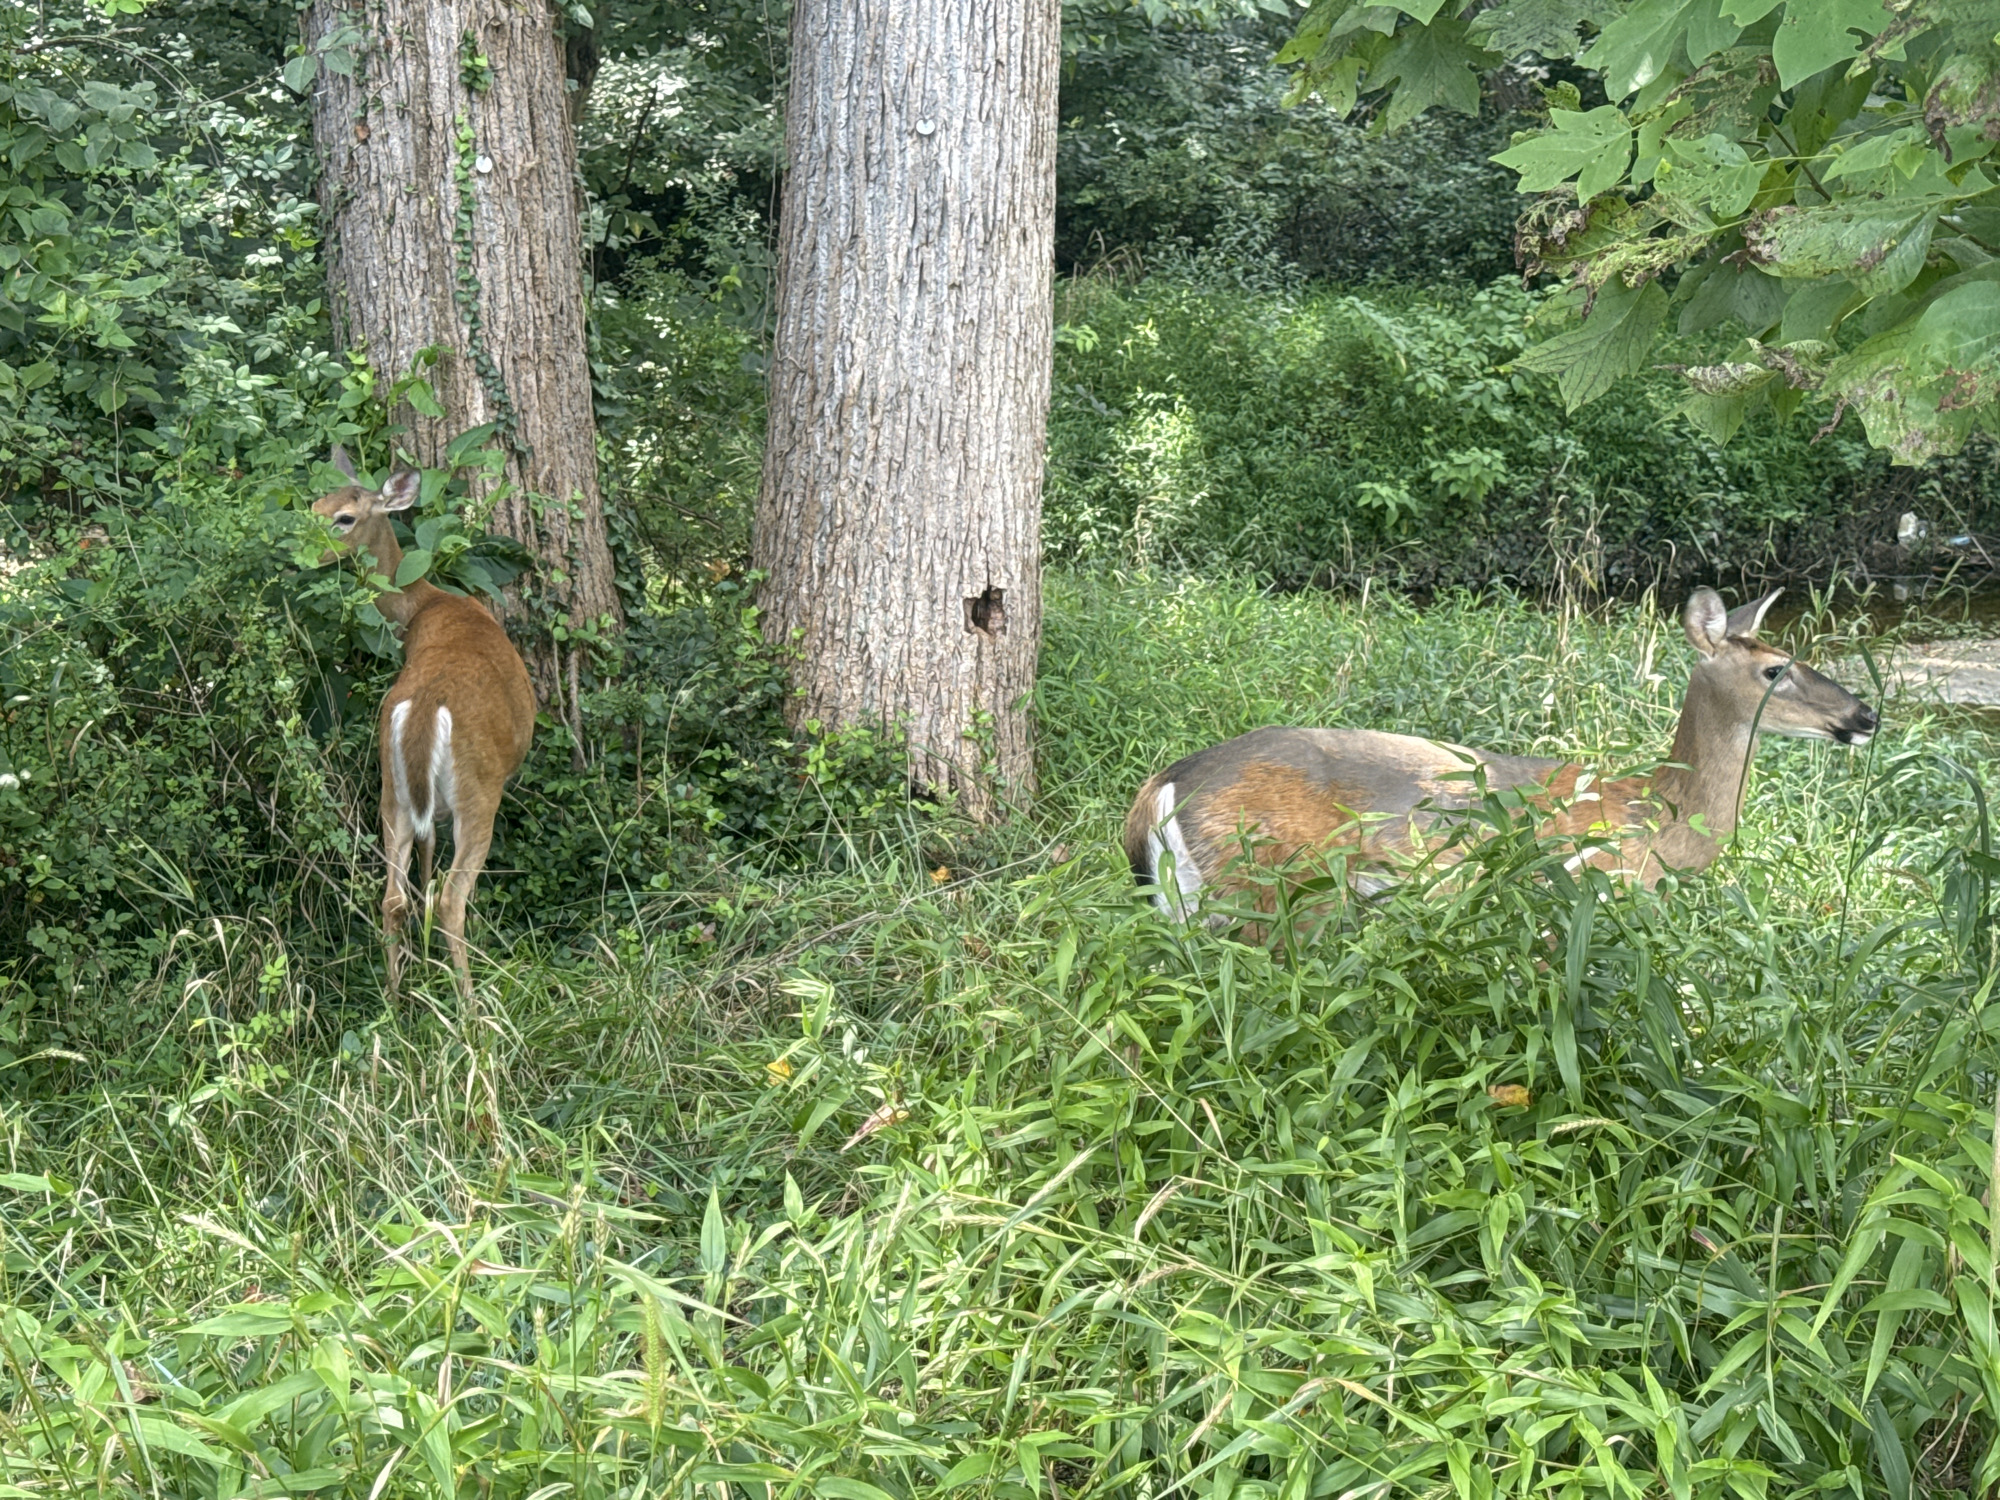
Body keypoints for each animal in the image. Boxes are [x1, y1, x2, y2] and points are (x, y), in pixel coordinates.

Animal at [313, 452, 536, 1001]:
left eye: (341, 516)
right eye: (314, 508)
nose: (303, 553)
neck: (423, 604)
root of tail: (425, 706)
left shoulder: (419, 805)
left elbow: (423, 863)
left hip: (390, 787)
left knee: (392, 898)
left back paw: (395, 1003)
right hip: (478, 792)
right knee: (453, 900)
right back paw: (472, 1010)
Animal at [1124, 588, 1878, 920]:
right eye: (1776, 669)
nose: (1865, 715)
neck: (1661, 819)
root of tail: (1160, 788)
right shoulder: (1586, 888)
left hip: (1186, 902)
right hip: (1271, 886)